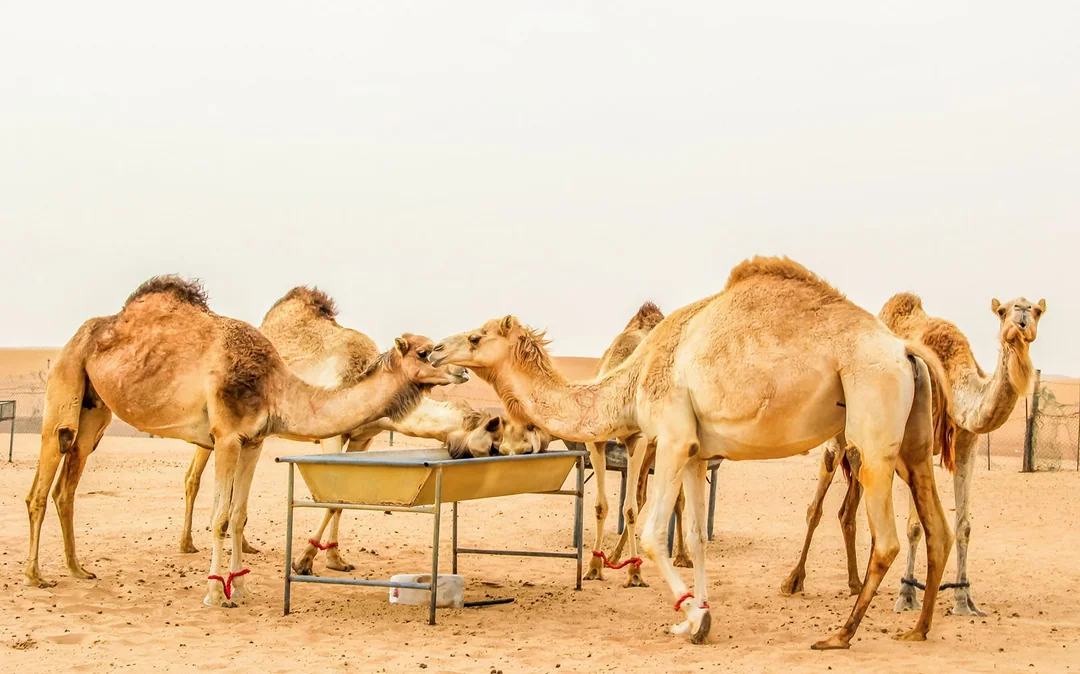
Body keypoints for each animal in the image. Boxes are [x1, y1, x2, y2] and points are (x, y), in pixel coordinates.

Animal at [25, 276, 454, 608]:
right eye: (425, 351)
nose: (459, 371)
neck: (273, 385)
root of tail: (79, 335)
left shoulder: (253, 441)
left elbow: (238, 515)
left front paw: (243, 588)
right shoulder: (228, 437)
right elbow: (220, 517)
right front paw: (216, 594)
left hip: (94, 412)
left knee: (67, 487)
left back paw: (77, 568)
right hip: (64, 386)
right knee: (42, 485)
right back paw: (35, 575)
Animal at [430, 256, 957, 649]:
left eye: (476, 337)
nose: (434, 350)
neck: (633, 379)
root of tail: (905, 349)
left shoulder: (671, 437)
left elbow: (650, 533)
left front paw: (688, 618)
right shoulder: (697, 453)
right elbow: (700, 539)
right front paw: (701, 614)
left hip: (872, 422)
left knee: (887, 539)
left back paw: (840, 634)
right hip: (912, 442)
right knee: (937, 527)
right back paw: (918, 628)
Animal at [781, 293, 1045, 618]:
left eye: (1037, 310)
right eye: (1003, 311)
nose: (1022, 317)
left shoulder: (967, 442)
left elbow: (964, 525)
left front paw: (964, 600)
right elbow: (915, 526)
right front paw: (907, 595)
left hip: (865, 449)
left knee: (848, 512)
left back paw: (856, 584)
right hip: (835, 439)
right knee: (815, 507)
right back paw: (794, 581)